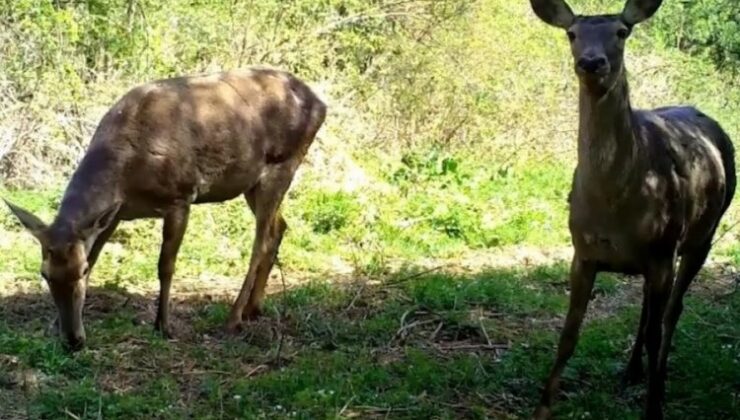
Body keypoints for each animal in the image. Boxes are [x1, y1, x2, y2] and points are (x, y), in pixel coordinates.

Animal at [3, 68, 326, 352]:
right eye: (44, 273)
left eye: (79, 271)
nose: (72, 341)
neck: (127, 175)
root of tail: (320, 103)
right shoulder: (113, 215)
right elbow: (95, 255)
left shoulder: (179, 198)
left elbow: (165, 265)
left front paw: (163, 325)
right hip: (252, 183)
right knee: (279, 227)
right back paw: (253, 308)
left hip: (283, 163)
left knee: (260, 242)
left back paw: (234, 317)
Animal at [528, 0, 736, 420]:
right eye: (572, 33)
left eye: (622, 32)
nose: (592, 62)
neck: (614, 205)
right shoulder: (583, 252)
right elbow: (568, 333)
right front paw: (543, 407)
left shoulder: (663, 249)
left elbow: (658, 330)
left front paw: (653, 408)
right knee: (648, 307)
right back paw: (632, 371)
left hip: (702, 235)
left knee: (672, 311)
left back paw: (658, 377)